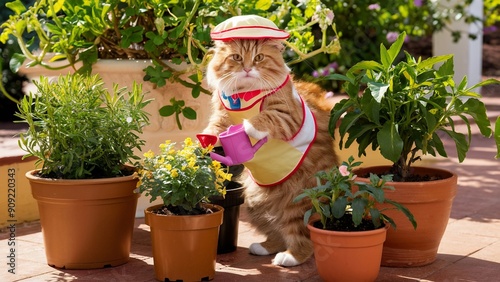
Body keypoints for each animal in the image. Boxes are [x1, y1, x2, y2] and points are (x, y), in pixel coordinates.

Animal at [201, 15, 338, 266]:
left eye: (259, 58)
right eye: (237, 57)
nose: (247, 68)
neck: (244, 94)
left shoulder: (287, 115)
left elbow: (264, 118)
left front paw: (246, 127)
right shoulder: (221, 114)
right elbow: (214, 128)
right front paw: (206, 141)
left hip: (300, 202)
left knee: (302, 237)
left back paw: (289, 257)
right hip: (255, 204)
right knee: (277, 232)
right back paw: (264, 247)